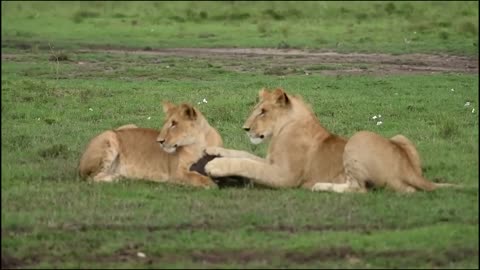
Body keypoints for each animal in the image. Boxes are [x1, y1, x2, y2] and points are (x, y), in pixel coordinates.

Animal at [78, 101, 221, 188]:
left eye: (174, 123)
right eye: (166, 123)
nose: (159, 141)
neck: (200, 142)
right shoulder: (177, 173)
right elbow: (195, 177)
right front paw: (213, 183)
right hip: (110, 136)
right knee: (91, 178)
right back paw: (118, 177)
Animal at [203, 88, 458, 192]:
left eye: (263, 112)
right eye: (256, 109)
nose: (246, 128)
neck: (284, 127)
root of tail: (410, 170)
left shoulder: (285, 175)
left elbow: (247, 163)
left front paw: (215, 165)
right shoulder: (272, 162)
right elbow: (244, 154)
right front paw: (214, 149)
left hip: (358, 138)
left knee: (362, 190)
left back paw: (319, 186)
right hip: (400, 138)